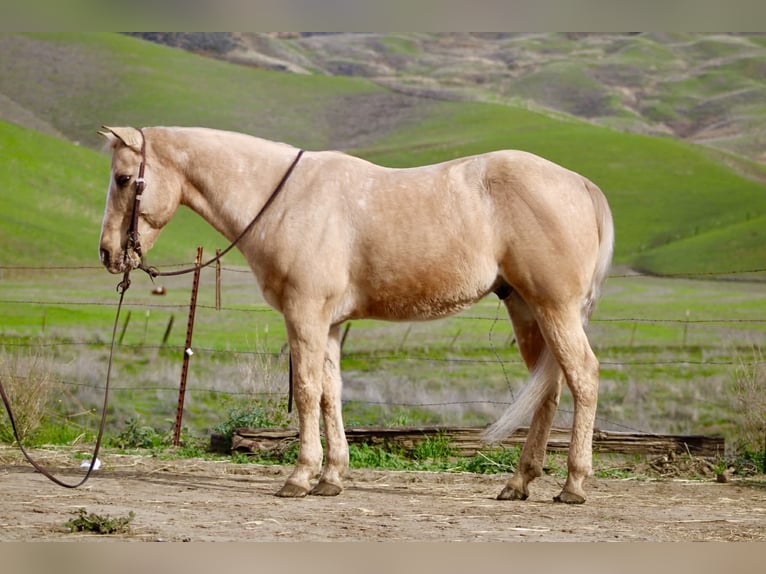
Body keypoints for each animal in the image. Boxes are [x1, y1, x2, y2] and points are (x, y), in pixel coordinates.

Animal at [98, 126, 613, 504]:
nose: (107, 254)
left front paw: (299, 477)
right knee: (550, 391)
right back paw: (518, 482)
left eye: (123, 179)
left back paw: (573, 485)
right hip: (526, 309)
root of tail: (582, 185)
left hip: (554, 308)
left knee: (584, 377)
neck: (285, 200)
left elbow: (307, 392)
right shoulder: (327, 325)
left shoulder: (304, 315)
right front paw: (331, 477)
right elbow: (331, 394)